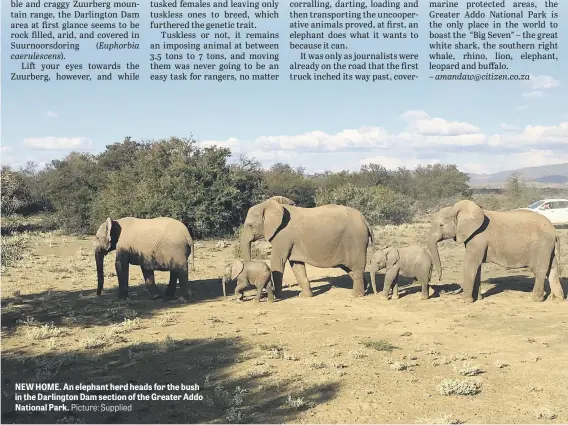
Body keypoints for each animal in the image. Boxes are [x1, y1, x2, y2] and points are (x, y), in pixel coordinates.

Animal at [241, 196, 378, 298]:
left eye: (250, 225)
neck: (268, 205)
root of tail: (365, 220)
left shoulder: (282, 236)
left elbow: (278, 261)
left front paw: (277, 296)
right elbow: (296, 264)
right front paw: (304, 296)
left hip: (356, 240)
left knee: (356, 267)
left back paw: (355, 295)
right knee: (350, 268)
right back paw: (366, 289)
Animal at [428, 199, 564, 302]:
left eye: (441, 225)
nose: (439, 279)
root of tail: (554, 232)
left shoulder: (478, 237)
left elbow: (470, 265)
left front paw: (465, 301)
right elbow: (477, 266)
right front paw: (478, 299)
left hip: (541, 246)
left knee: (540, 270)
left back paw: (535, 299)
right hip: (547, 247)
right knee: (552, 268)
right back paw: (557, 299)